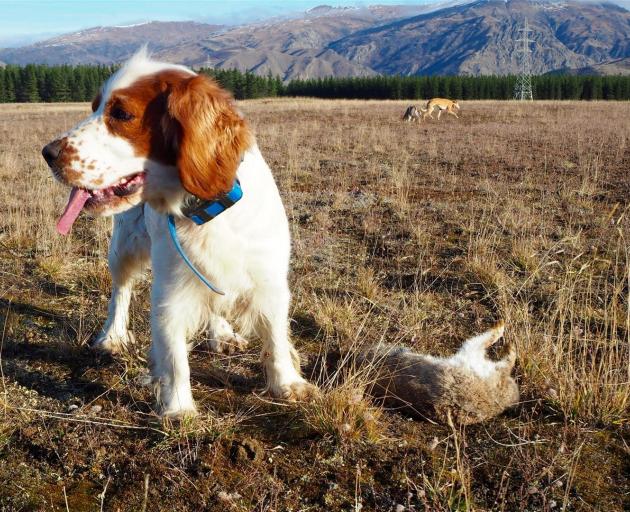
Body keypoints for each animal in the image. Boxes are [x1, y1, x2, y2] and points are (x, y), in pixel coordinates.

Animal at [42, 48, 318, 418]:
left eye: (121, 113)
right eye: (95, 108)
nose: (47, 153)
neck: (204, 209)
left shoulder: (269, 279)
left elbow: (275, 336)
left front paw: (287, 384)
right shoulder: (170, 289)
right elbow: (174, 354)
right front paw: (178, 408)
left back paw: (222, 334)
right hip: (123, 247)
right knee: (121, 291)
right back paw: (112, 336)